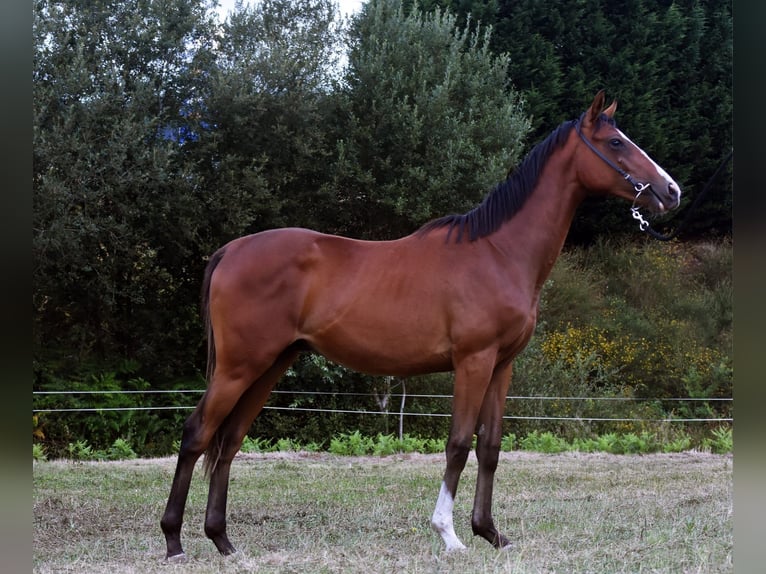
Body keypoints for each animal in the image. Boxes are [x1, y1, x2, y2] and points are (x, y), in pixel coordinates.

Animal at [159, 91, 680, 564]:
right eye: (615, 142)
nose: (671, 191)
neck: (498, 253)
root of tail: (232, 250)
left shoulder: (502, 366)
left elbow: (491, 446)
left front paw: (491, 533)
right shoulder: (473, 362)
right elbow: (458, 444)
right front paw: (449, 535)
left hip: (269, 367)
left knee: (228, 442)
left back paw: (224, 543)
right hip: (238, 368)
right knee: (197, 434)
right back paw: (174, 543)